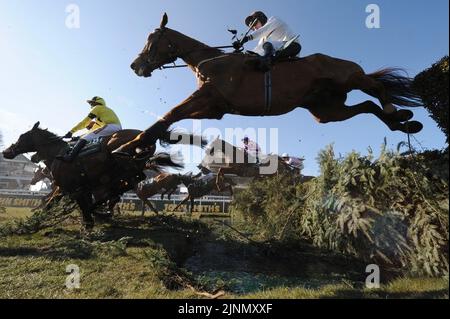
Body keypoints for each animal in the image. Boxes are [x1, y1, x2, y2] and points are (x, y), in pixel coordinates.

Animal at [1, 122, 188, 230]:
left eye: (22, 137)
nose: (6, 151)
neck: (58, 154)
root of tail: (145, 134)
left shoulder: (73, 187)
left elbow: (72, 203)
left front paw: (89, 221)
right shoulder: (65, 187)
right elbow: (50, 203)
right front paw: (33, 221)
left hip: (122, 163)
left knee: (127, 184)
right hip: (127, 170)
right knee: (128, 184)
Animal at [114, 13, 424, 156]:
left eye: (152, 40)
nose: (135, 65)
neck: (211, 61)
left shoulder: (207, 96)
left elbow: (170, 114)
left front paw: (128, 145)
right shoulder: (214, 107)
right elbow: (170, 119)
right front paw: (137, 144)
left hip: (347, 76)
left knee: (375, 87)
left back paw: (398, 113)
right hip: (326, 110)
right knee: (368, 105)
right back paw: (404, 123)